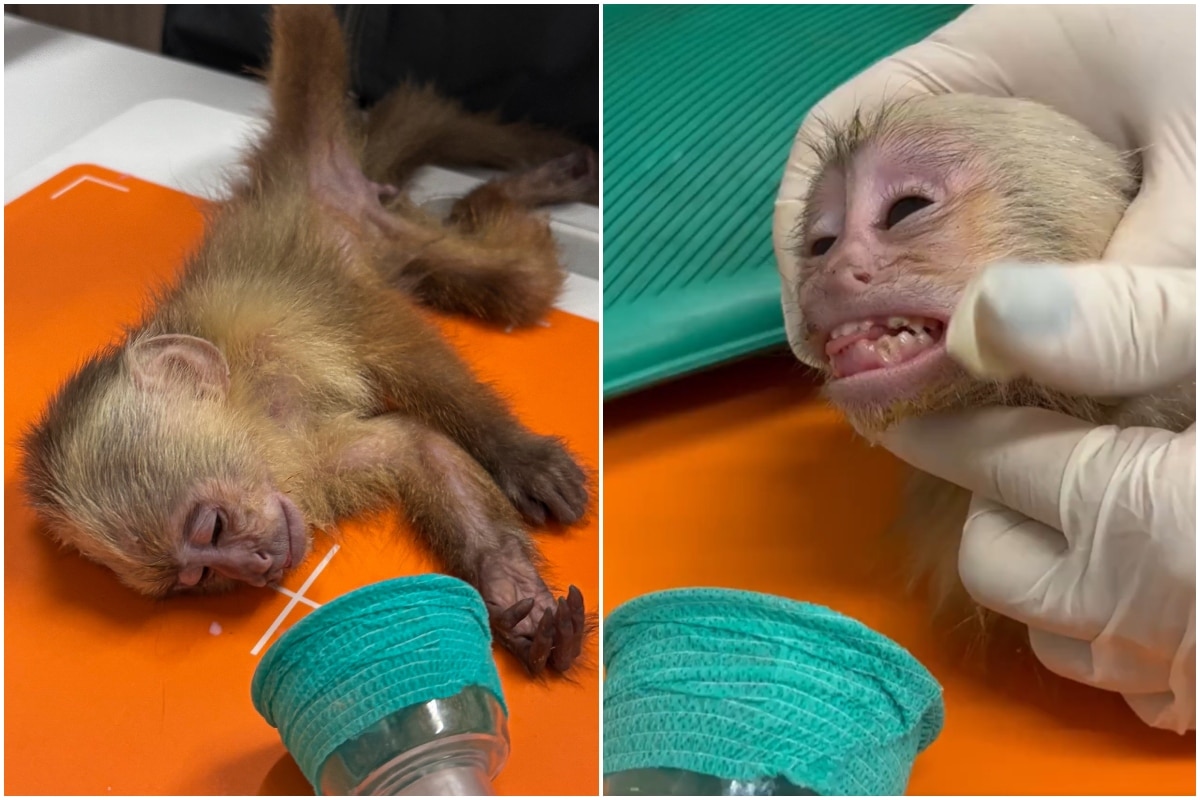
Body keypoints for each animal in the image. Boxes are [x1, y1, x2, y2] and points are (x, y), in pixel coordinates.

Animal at [18, 5, 598, 677]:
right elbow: (420, 450)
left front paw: (519, 456)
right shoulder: (311, 464)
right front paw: (518, 602)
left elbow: (405, 355)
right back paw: (500, 194)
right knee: (504, 267)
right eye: (196, 579)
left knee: (518, 278)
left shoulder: (284, 327)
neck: (261, 408)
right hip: (405, 235)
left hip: (331, 150)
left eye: (211, 527)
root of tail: (296, 176)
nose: (257, 569)